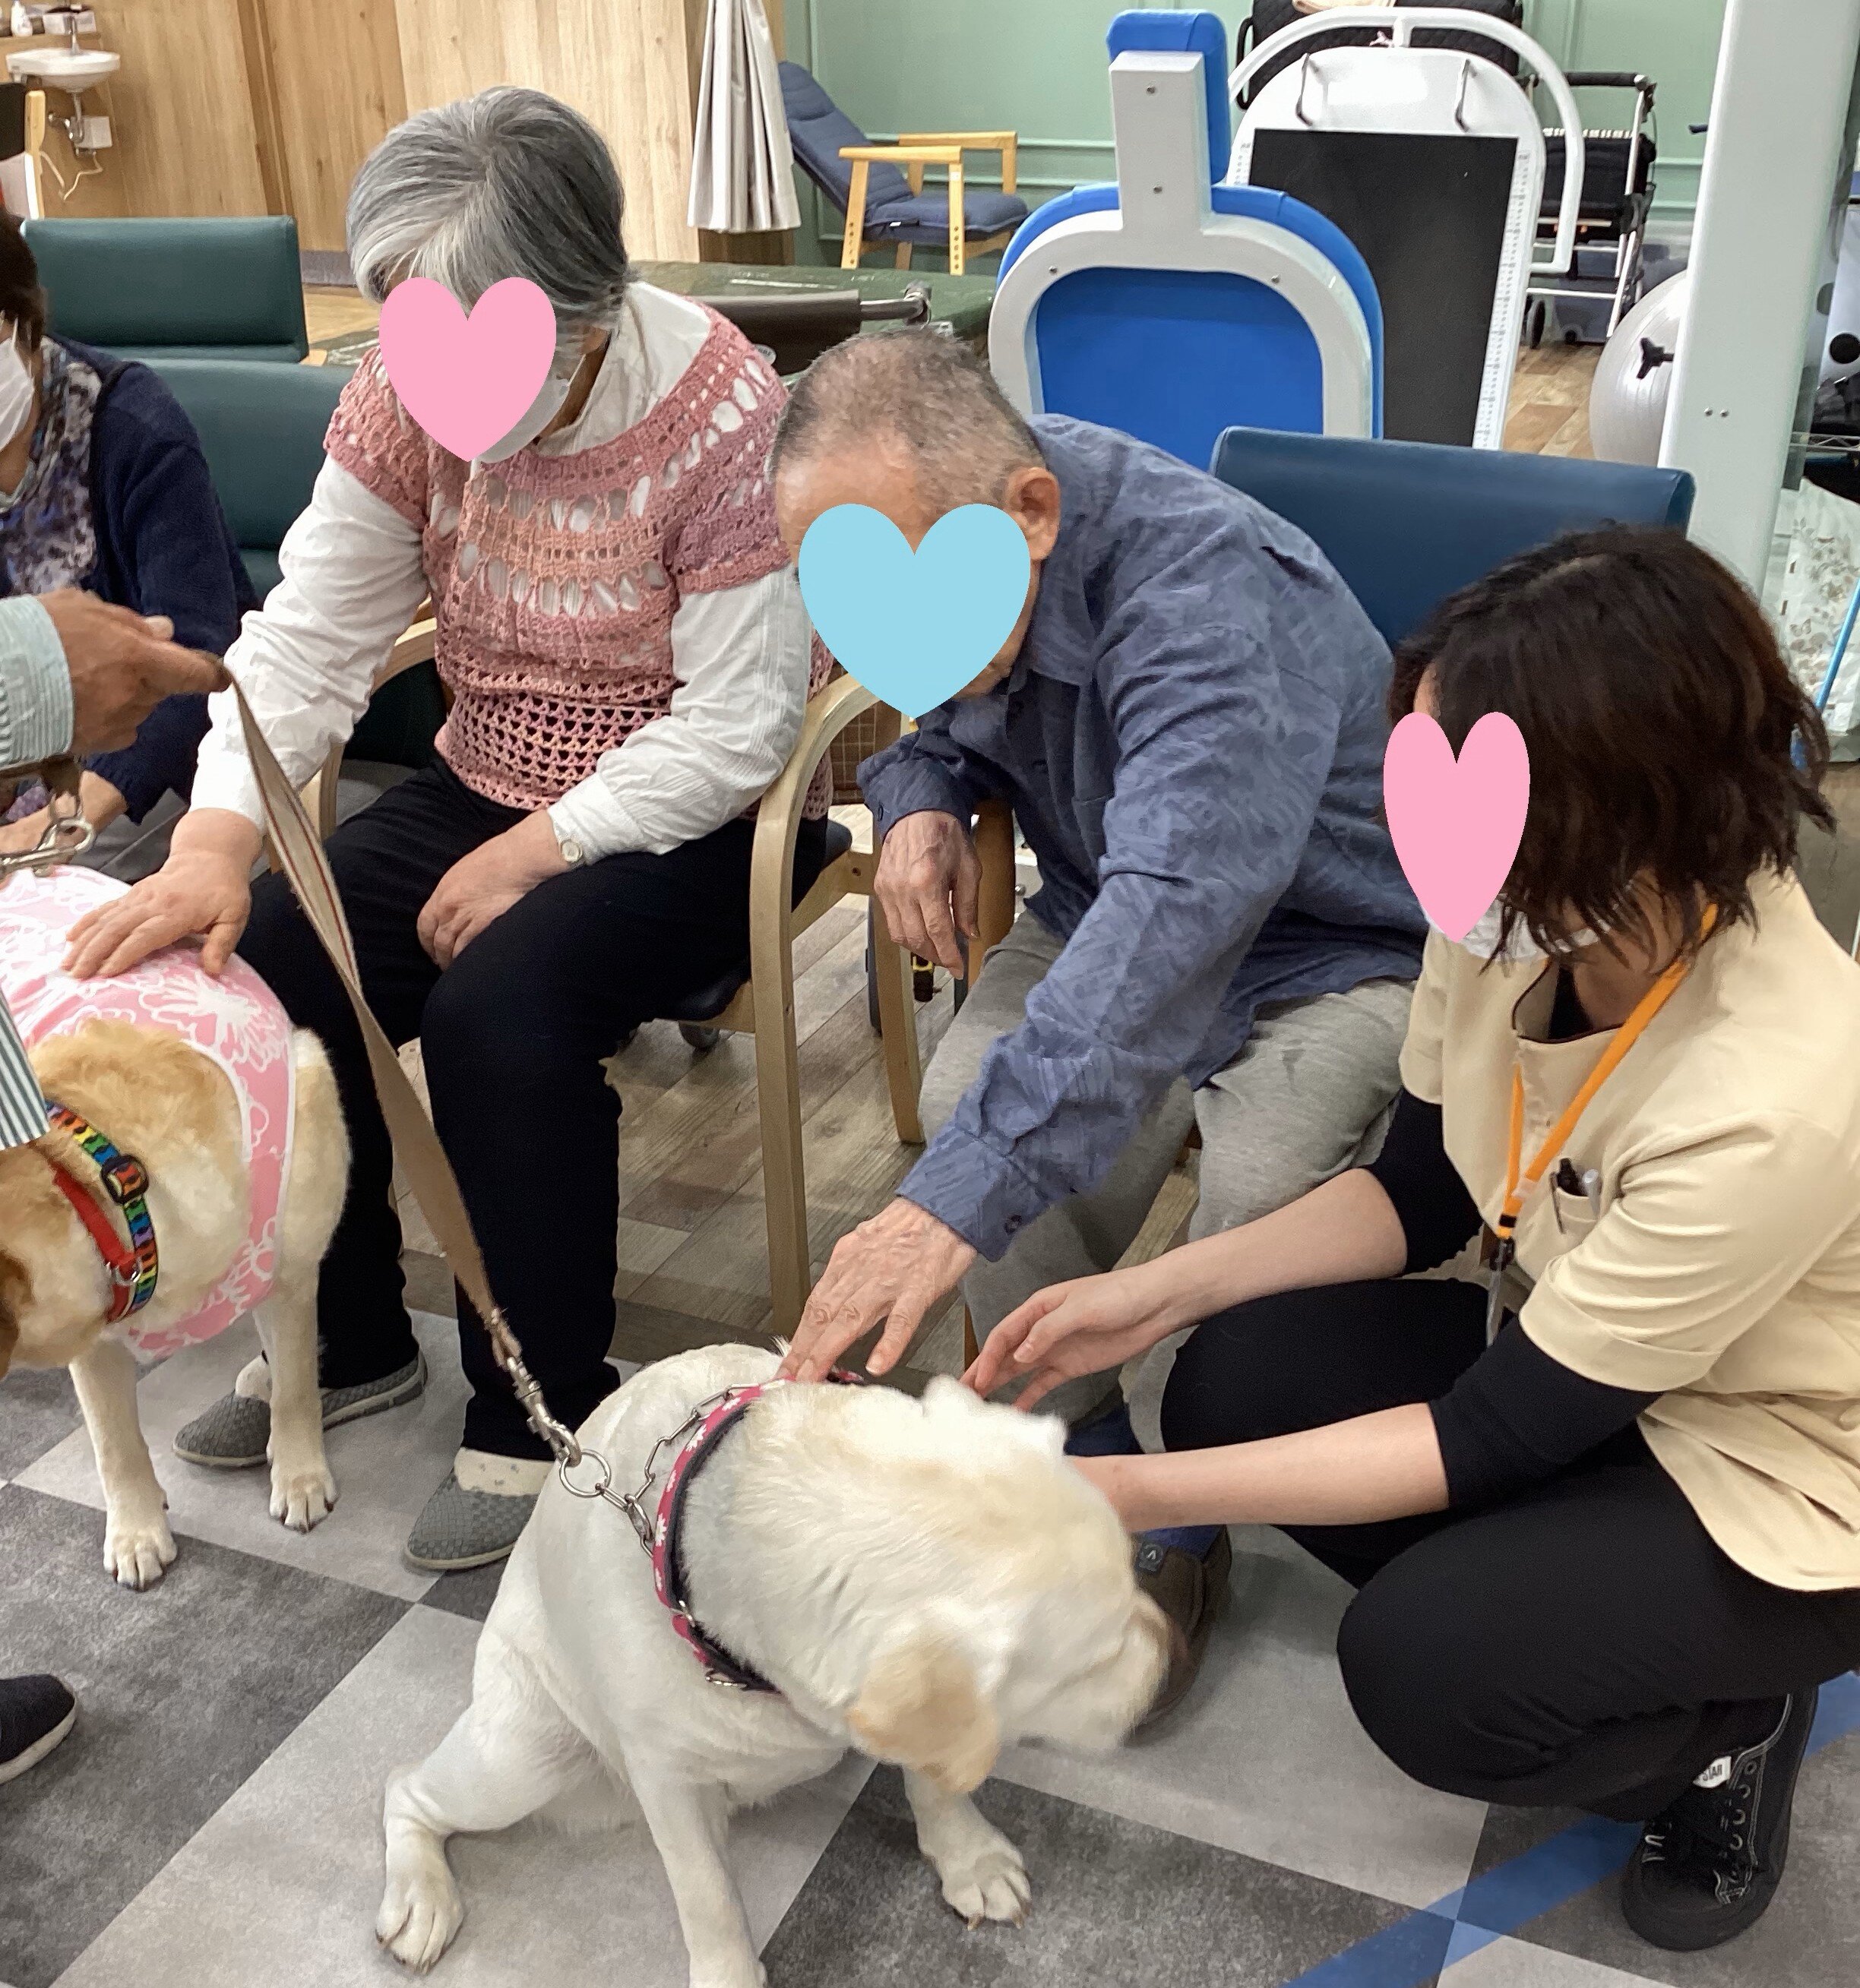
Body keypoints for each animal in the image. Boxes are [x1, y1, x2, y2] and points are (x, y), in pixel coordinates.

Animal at [0, 866, 348, 1589]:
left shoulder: (291, 1272)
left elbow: (298, 1386)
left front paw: (299, 1475)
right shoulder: (94, 1330)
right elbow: (113, 1443)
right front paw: (136, 1530)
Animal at [376, 1343, 1172, 1987]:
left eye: (1137, 1569)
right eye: (1093, 1659)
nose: (1169, 1657)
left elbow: (936, 1782)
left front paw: (968, 1857)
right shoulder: (667, 1778)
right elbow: (708, 1896)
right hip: (525, 1751)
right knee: (406, 1788)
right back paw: (420, 1898)